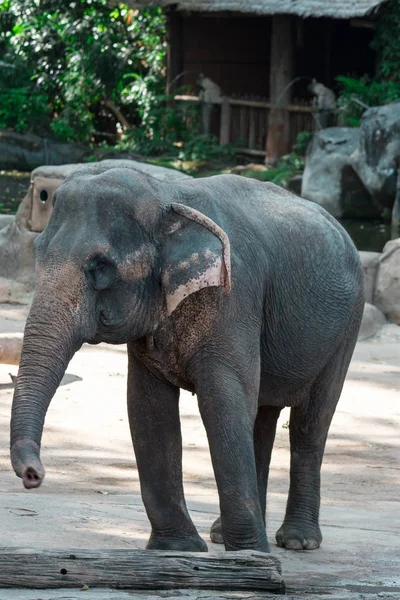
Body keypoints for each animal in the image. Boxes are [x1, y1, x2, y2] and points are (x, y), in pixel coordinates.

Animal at [10, 161, 366, 552]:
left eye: (101, 267)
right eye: (37, 251)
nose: (33, 475)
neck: (166, 196)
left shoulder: (233, 297)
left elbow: (222, 402)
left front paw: (249, 556)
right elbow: (148, 409)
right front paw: (178, 550)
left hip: (348, 326)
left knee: (310, 423)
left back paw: (297, 542)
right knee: (261, 417)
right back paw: (224, 535)